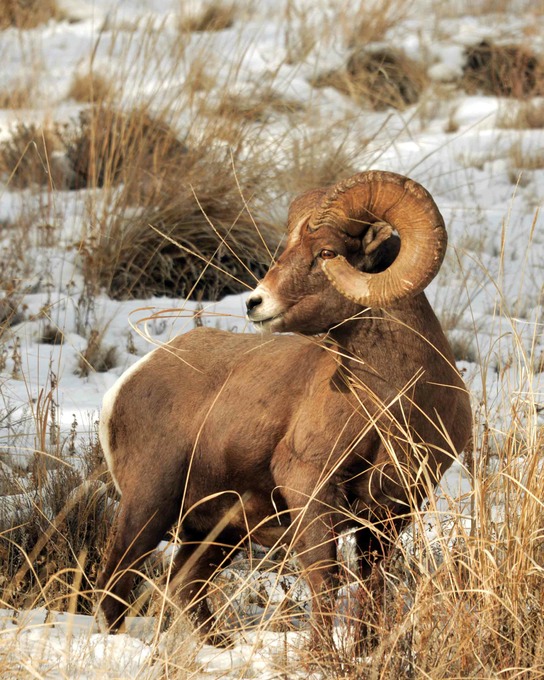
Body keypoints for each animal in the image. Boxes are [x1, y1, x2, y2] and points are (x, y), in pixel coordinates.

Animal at [98, 170, 472, 644]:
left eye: (326, 252)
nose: (254, 303)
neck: (391, 402)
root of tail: (129, 381)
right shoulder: (309, 490)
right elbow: (324, 581)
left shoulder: (389, 513)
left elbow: (372, 585)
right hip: (148, 506)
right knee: (115, 587)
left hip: (217, 531)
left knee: (186, 583)